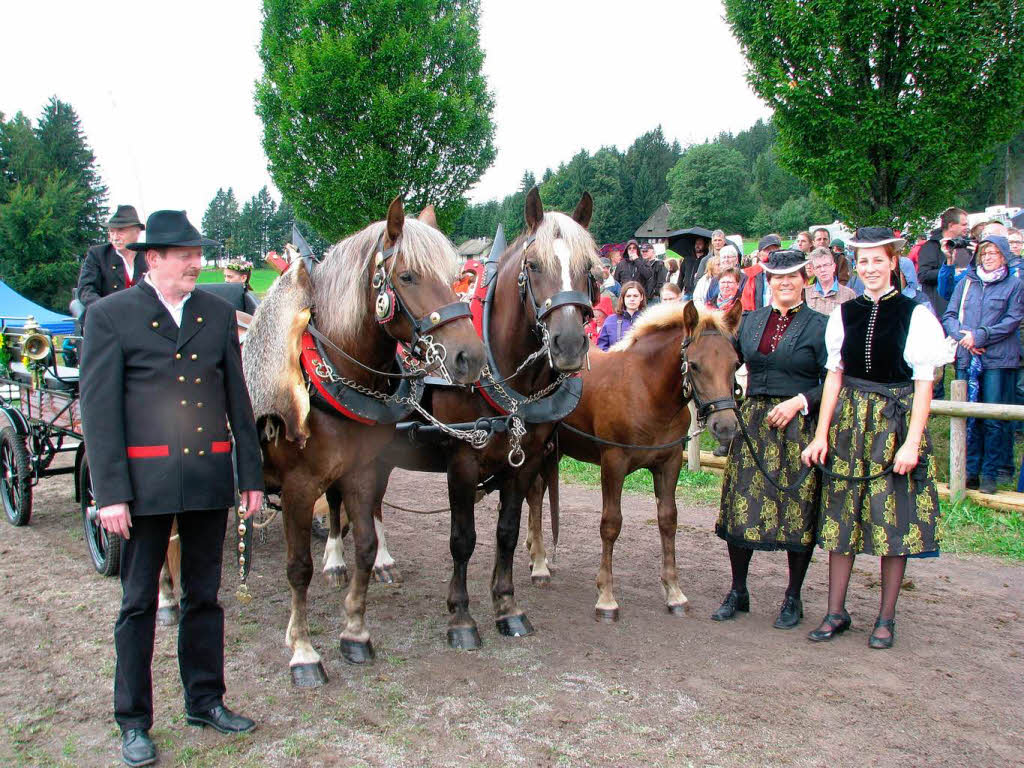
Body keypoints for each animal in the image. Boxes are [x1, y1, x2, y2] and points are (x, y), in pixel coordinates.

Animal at [241, 201, 481, 688]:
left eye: (457, 277)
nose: (471, 356)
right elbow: (298, 568)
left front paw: (355, 630)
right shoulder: (297, 488)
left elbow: (366, 546)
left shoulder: (361, 471)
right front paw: (303, 650)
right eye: (407, 276)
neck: (331, 375)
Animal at [327, 188, 598, 651]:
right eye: (533, 265)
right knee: (333, 499)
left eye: (588, 268)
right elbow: (462, 539)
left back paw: (382, 561)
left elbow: (507, 532)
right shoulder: (462, 461)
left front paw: (507, 606)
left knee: (374, 500)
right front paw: (461, 617)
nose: (568, 345)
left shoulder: (523, 462)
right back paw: (334, 560)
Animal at [528, 299, 737, 618]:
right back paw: (539, 563)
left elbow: (668, 520)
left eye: (735, 363)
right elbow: (611, 524)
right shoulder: (613, 462)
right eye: (695, 365)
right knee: (536, 495)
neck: (645, 389)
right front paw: (606, 596)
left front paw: (674, 592)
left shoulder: (669, 463)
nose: (725, 426)